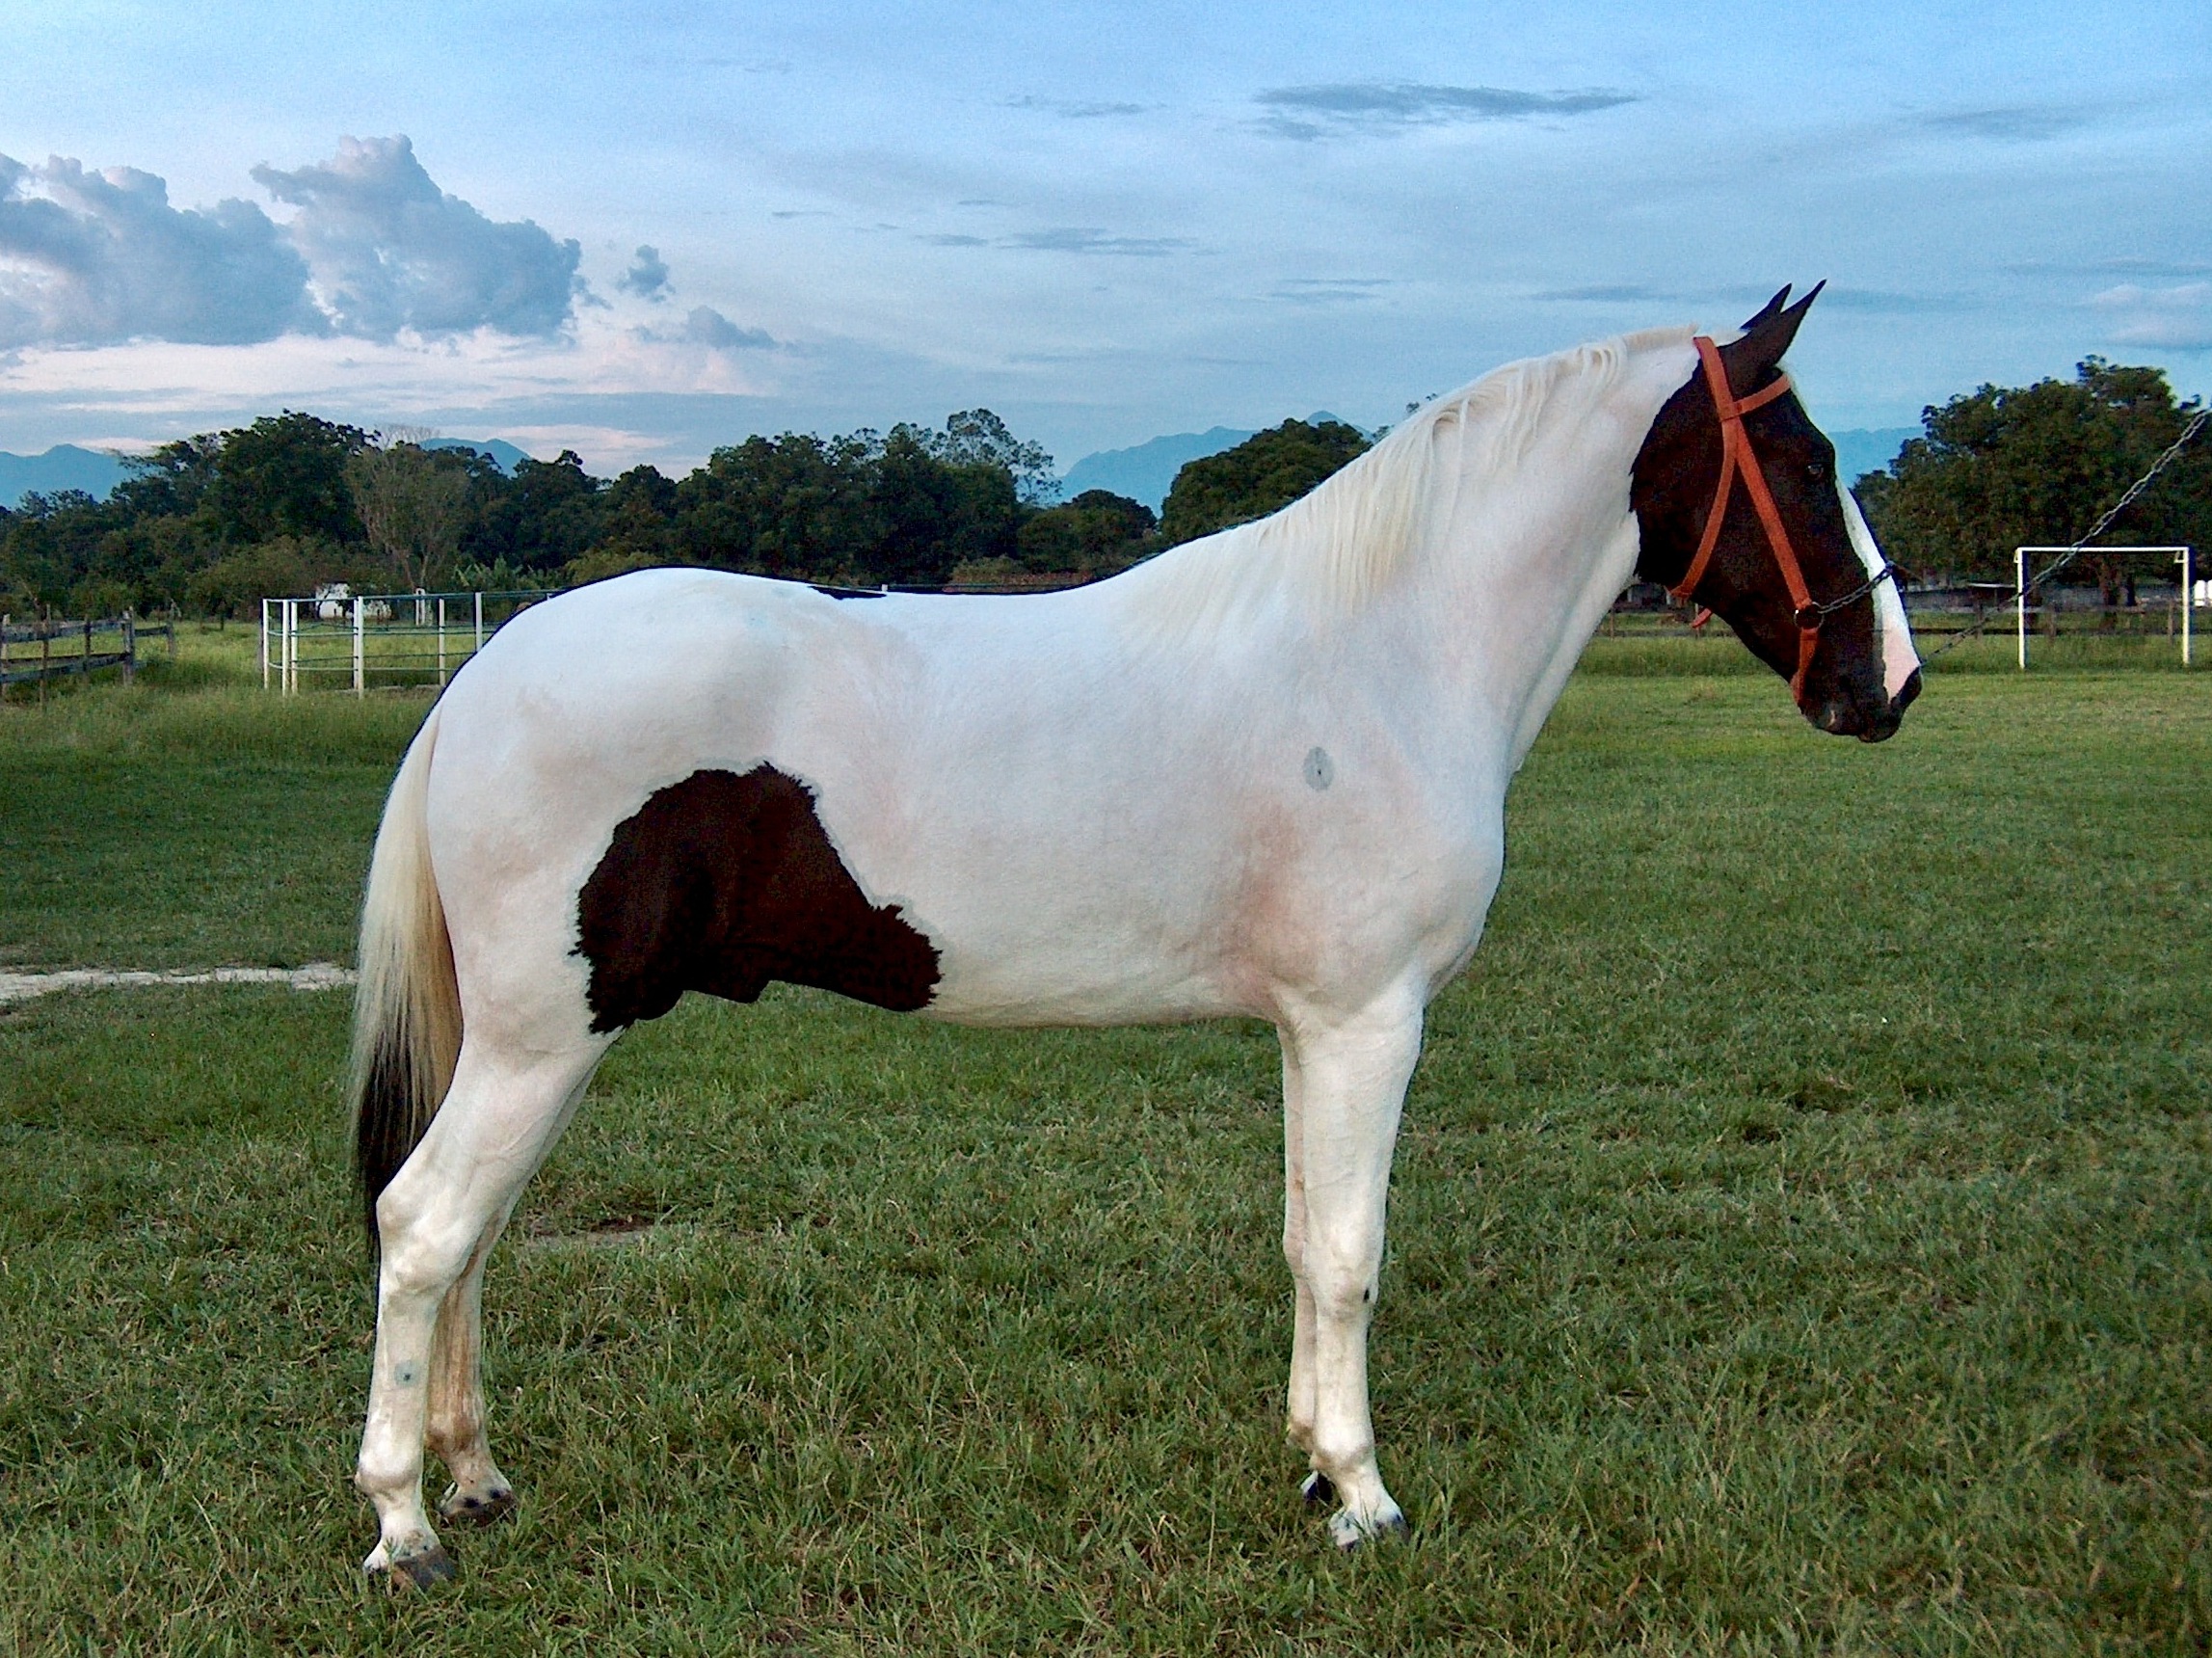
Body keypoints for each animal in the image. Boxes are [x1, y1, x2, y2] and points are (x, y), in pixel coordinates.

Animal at [340, 281, 1920, 1576]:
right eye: (1807, 463)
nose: (1885, 684)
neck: (1385, 658)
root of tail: (485, 670)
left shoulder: (1313, 1029)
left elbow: (1301, 1238)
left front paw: (1309, 1463)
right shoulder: (1370, 1020)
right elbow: (1350, 1254)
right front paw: (1364, 1499)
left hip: (534, 1043)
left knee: (475, 1238)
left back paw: (473, 1477)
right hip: (543, 1039)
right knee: (424, 1228)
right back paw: (406, 1526)